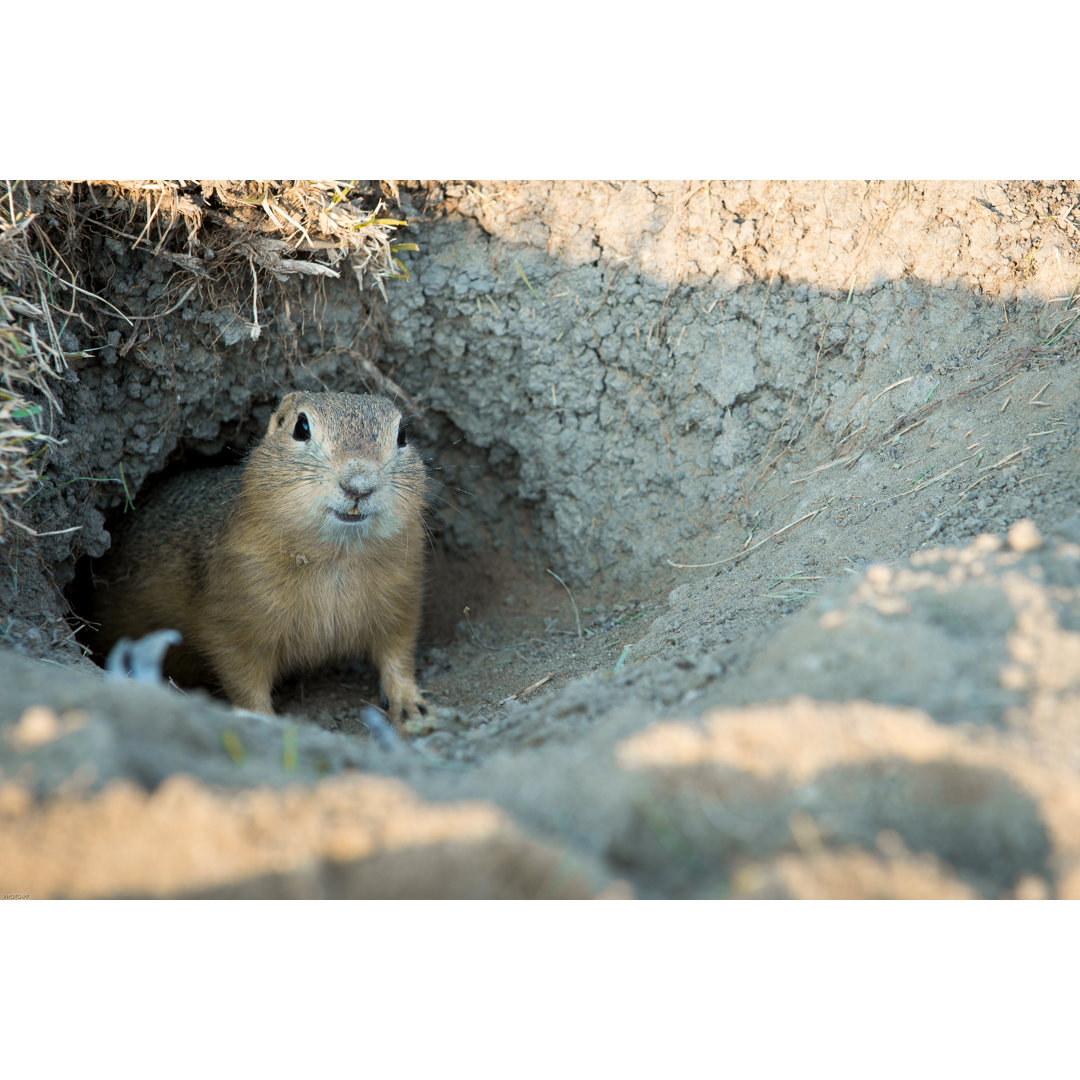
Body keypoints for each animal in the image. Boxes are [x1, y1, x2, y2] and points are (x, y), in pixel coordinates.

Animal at [91, 390, 429, 725]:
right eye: (301, 428)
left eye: (402, 435)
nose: (359, 485)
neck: (337, 556)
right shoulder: (235, 618)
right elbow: (243, 677)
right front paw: (263, 720)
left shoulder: (401, 598)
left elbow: (398, 651)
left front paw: (410, 704)